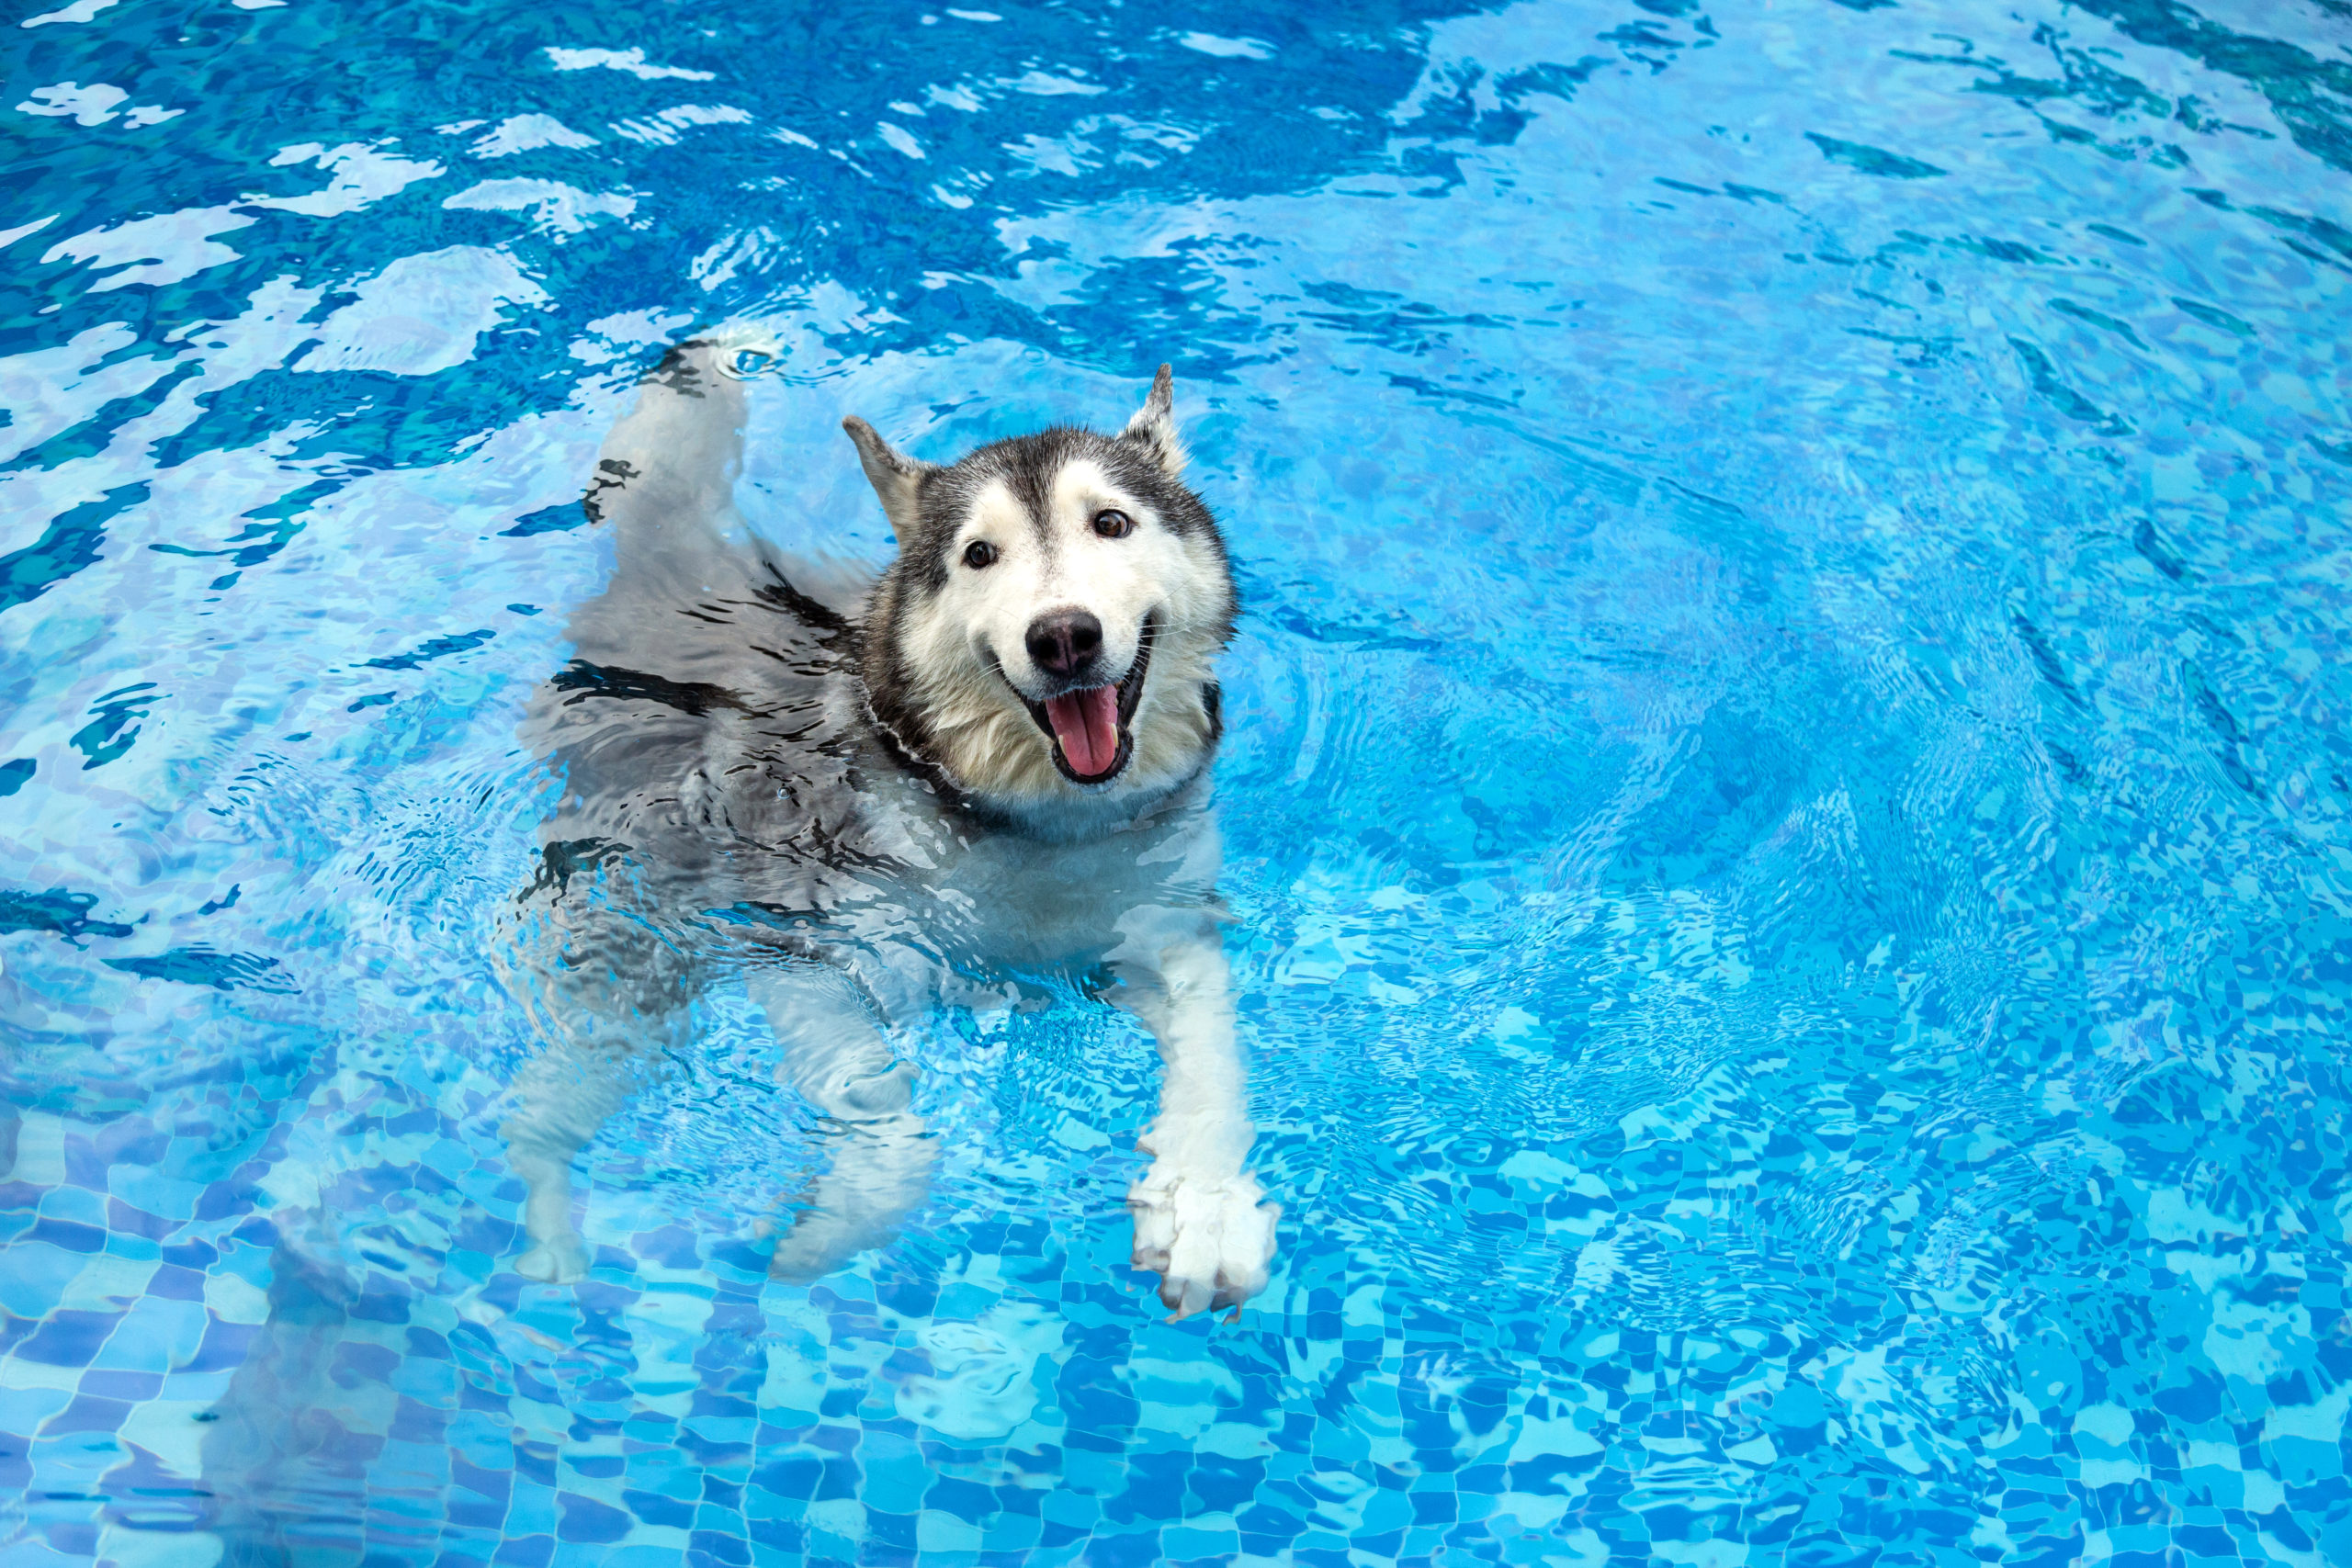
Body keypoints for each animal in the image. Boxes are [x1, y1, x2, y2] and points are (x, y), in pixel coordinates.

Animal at [492, 338, 1270, 1316]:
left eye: (1111, 523)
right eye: (979, 553)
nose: (1063, 637)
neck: (1037, 822)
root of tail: (697, 567)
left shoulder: (1168, 925)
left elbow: (1214, 1049)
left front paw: (1205, 1202)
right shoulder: (792, 936)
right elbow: (885, 1100)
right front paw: (839, 1218)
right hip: (635, 958)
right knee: (550, 1099)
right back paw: (547, 1228)